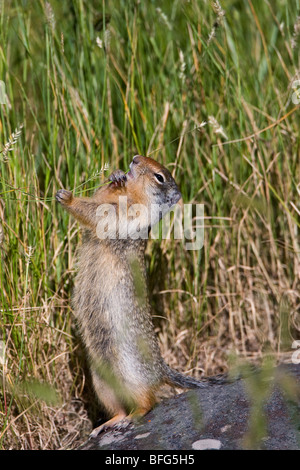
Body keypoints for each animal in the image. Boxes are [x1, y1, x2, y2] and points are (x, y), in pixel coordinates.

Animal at [56, 155, 211, 436]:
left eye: (159, 177)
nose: (135, 158)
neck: (134, 196)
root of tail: (161, 370)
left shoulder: (126, 215)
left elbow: (97, 213)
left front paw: (67, 197)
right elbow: (101, 195)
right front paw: (116, 176)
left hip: (132, 377)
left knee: (149, 402)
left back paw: (132, 417)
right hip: (101, 382)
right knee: (117, 405)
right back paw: (107, 424)